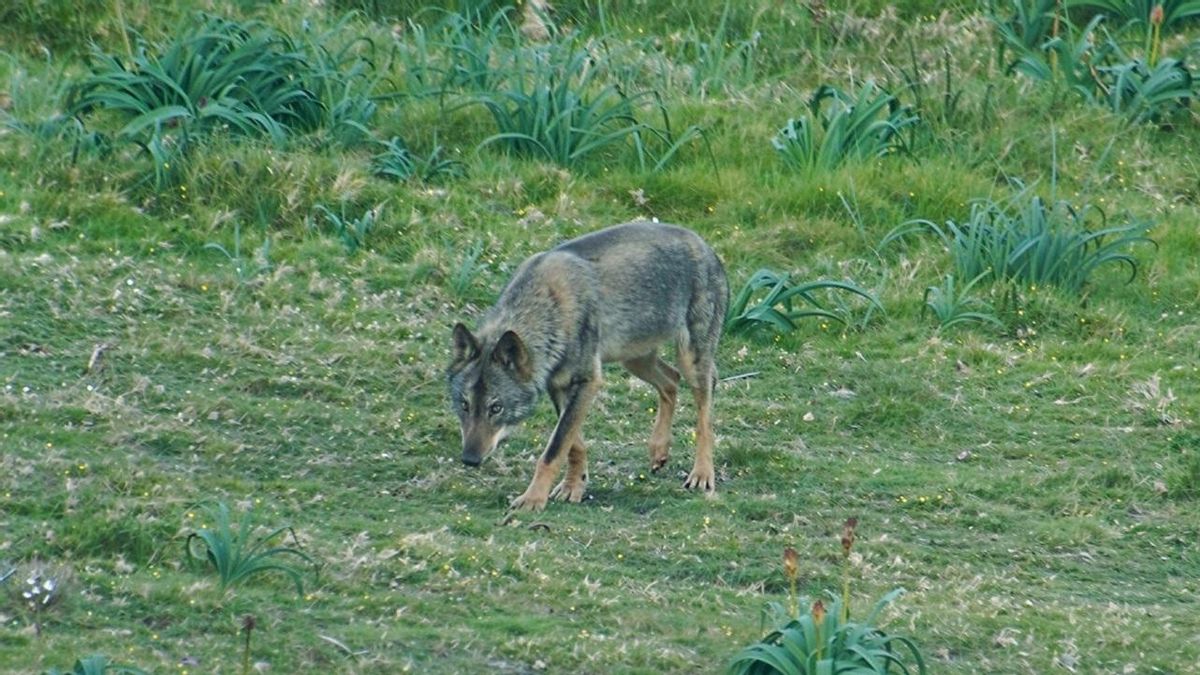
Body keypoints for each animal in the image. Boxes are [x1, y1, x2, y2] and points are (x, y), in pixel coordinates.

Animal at [447, 221, 728, 512]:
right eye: (464, 405)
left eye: (496, 407)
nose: (469, 459)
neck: (548, 308)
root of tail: (705, 245)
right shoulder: (559, 386)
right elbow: (574, 445)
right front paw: (573, 487)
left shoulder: (588, 381)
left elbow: (554, 449)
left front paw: (533, 499)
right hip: (635, 360)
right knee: (671, 380)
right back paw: (658, 450)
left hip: (690, 361)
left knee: (704, 415)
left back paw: (702, 474)